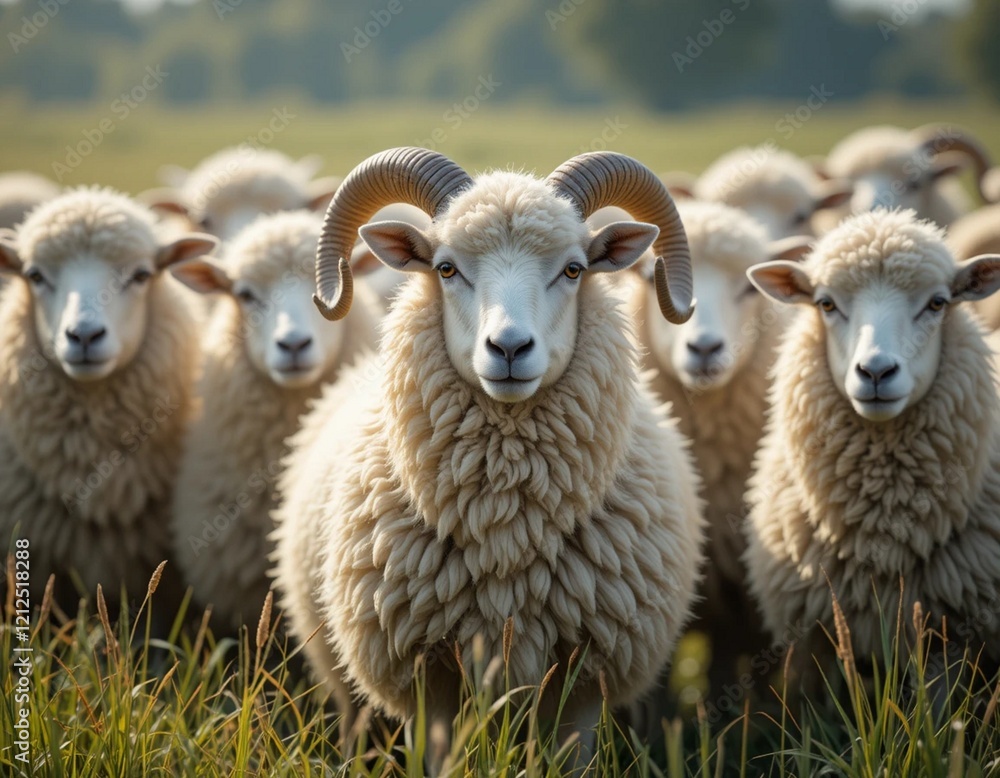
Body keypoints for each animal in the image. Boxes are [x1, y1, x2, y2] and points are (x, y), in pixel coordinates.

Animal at [271, 147, 705, 768]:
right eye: (446, 268)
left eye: (574, 270)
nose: (509, 348)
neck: (505, 526)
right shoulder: (428, 675)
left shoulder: (584, 676)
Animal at [743, 208, 1000, 689]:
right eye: (826, 304)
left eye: (938, 303)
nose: (876, 371)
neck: (885, 531)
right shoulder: (812, 643)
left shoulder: (948, 641)